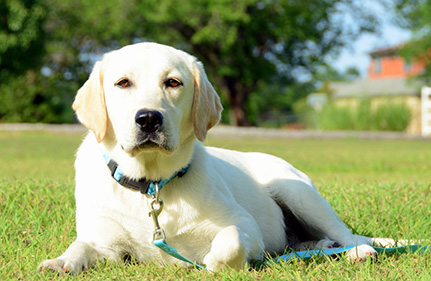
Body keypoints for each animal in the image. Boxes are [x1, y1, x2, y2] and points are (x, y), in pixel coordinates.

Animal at [41, 42, 402, 272]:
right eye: (122, 83)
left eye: (173, 82)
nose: (148, 119)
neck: (152, 183)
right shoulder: (106, 244)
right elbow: (82, 246)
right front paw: (60, 262)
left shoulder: (245, 224)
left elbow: (232, 239)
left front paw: (217, 262)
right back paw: (320, 248)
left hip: (299, 193)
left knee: (346, 234)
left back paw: (358, 251)